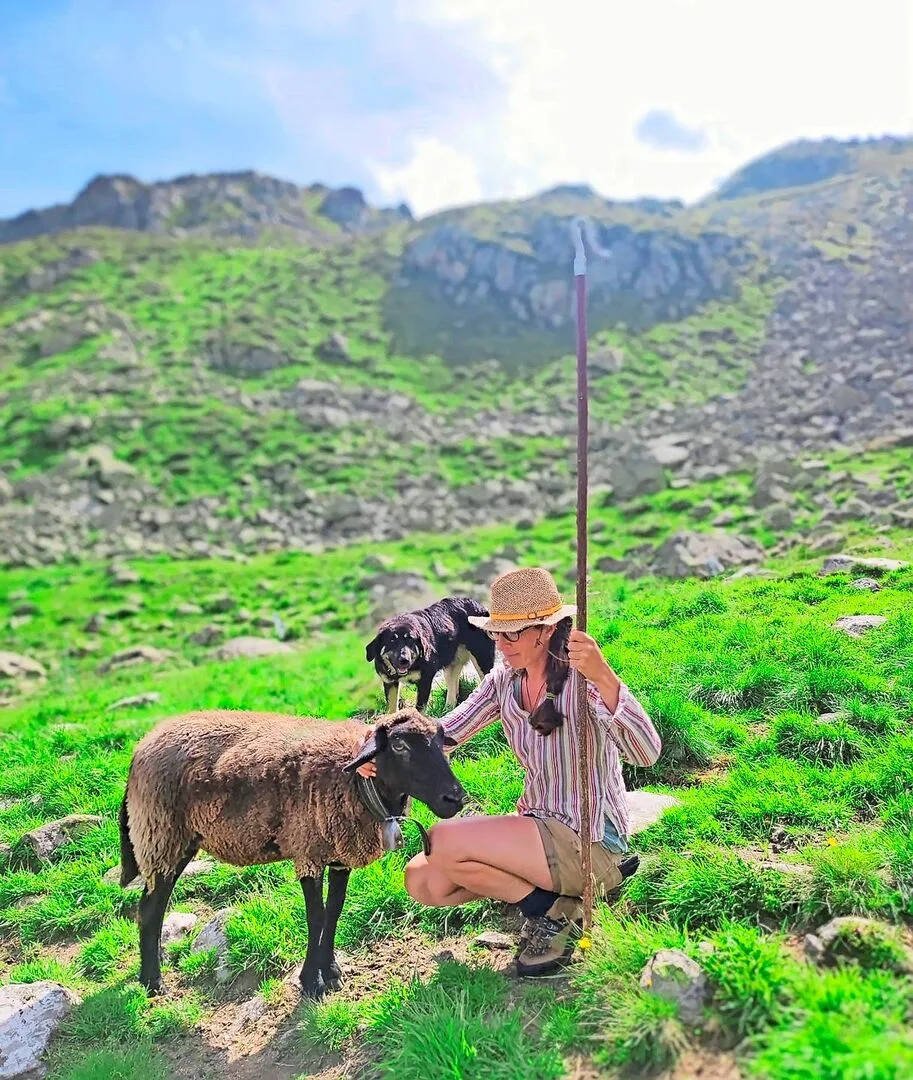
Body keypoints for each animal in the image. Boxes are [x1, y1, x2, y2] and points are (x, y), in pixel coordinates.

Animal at [118, 705, 466, 998]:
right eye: (398, 745)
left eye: (440, 740)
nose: (455, 798)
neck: (355, 782)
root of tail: (141, 747)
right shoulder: (307, 850)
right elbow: (316, 917)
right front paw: (311, 981)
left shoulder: (339, 854)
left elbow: (334, 911)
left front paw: (331, 970)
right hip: (162, 837)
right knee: (150, 911)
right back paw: (153, 983)